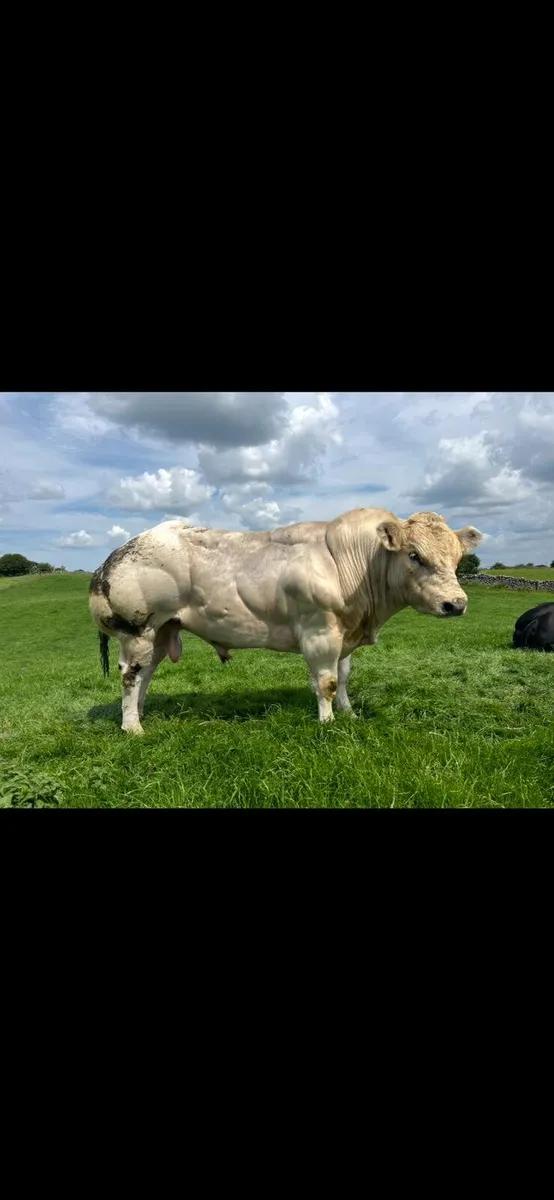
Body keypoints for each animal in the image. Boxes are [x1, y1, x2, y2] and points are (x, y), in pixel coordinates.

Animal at [89, 507, 483, 733]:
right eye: (414, 555)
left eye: (457, 557)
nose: (456, 603)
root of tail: (112, 558)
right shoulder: (319, 631)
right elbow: (326, 682)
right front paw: (327, 722)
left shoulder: (345, 635)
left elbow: (343, 677)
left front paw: (349, 714)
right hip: (138, 629)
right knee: (130, 675)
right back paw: (132, 728)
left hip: (161, 630)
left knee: (146, 675)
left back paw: (138, 715)